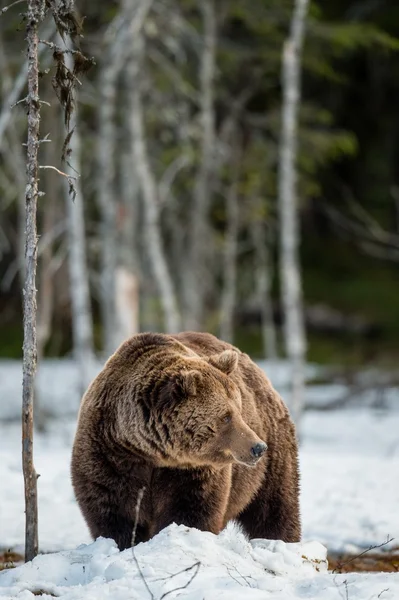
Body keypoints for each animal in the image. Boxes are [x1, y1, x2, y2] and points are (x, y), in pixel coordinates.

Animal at [72, 330, 302, 552]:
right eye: (226, 416)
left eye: (239, 409)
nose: (258, 447)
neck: (150, 450)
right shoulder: (109, 454)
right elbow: (113, 510)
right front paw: (125, 543)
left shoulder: (192, 471)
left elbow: (191, 509)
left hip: (271, 455)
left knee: (275, 507)